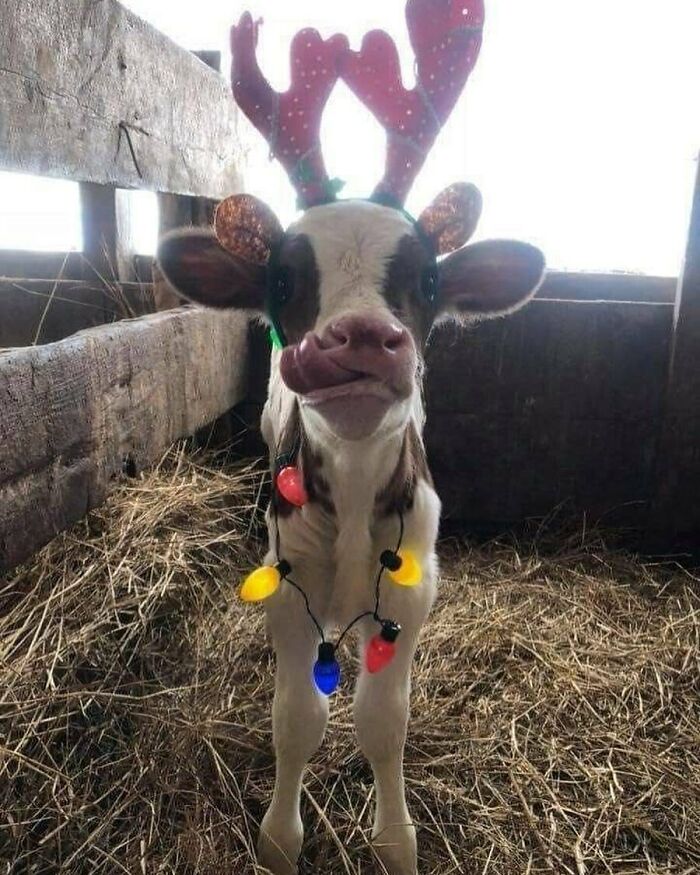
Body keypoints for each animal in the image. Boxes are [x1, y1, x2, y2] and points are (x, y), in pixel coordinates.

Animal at [159, 3, 548, 872]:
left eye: (428, 278)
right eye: (282, 278)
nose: (362, 337)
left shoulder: (412, 587)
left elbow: (382, 721)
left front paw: (396, 841)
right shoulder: (287, 578)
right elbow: (297, 716)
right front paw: (279, 838)